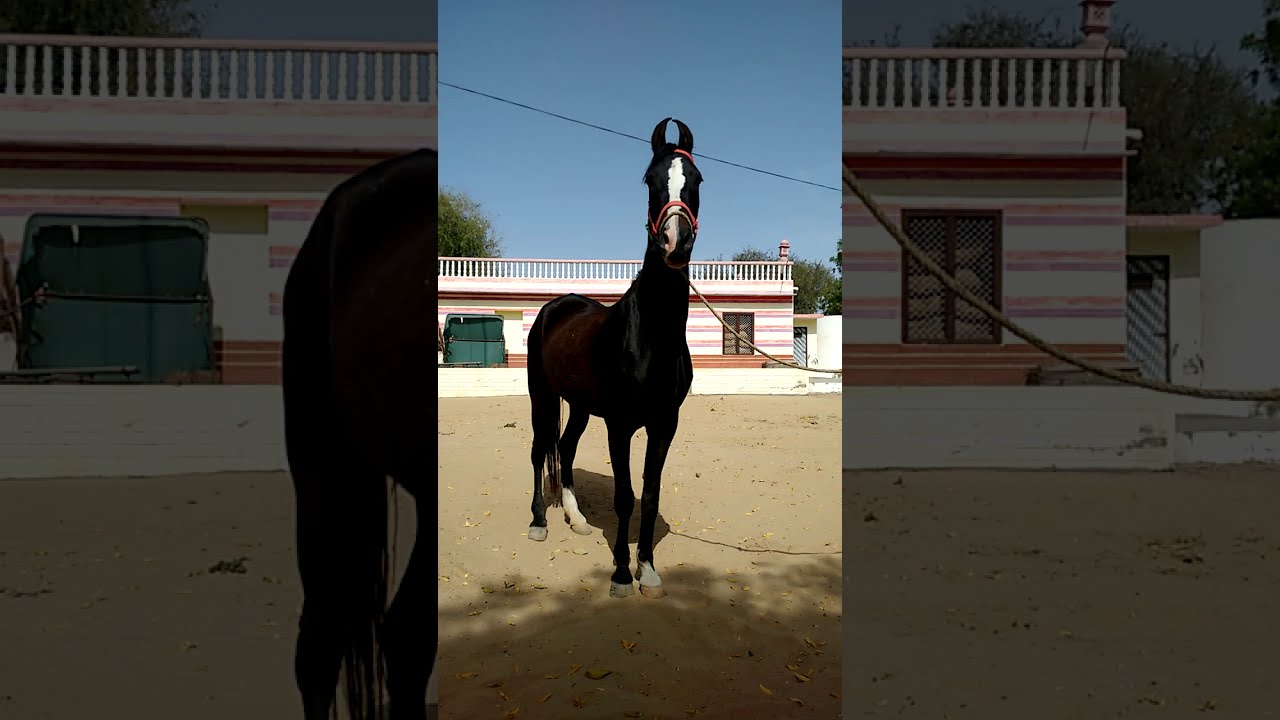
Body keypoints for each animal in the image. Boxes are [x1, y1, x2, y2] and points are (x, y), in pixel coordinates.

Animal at [526, 117, 702, 600]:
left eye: (697, 179)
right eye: (650, 180)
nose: (675, 243)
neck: (650, 337)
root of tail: (554, 307)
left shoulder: (664, 424)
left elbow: (650, 495)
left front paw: (649, 570)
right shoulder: (620, 425)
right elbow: (625, 497)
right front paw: (622, 574)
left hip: (580, 407)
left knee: (565, 449)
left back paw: (577, 520)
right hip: (542, 397)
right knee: (539, 451)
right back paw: (539, 521)